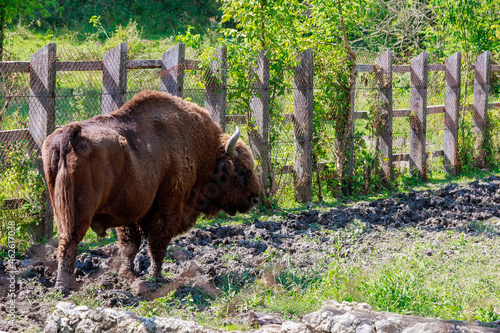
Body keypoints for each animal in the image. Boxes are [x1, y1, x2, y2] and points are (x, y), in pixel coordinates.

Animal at [42, 89, 262, 292]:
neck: (202, 152)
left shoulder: (129, 211)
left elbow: (130, 245)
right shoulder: (168, 206)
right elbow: (157, 242)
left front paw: (128, 274)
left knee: (66, 243)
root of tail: (72, 131)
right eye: (242, 169)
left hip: (61, 209)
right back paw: (63, 286)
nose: (255, 198)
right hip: (78, 213)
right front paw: (157, 277)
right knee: (69, 243)